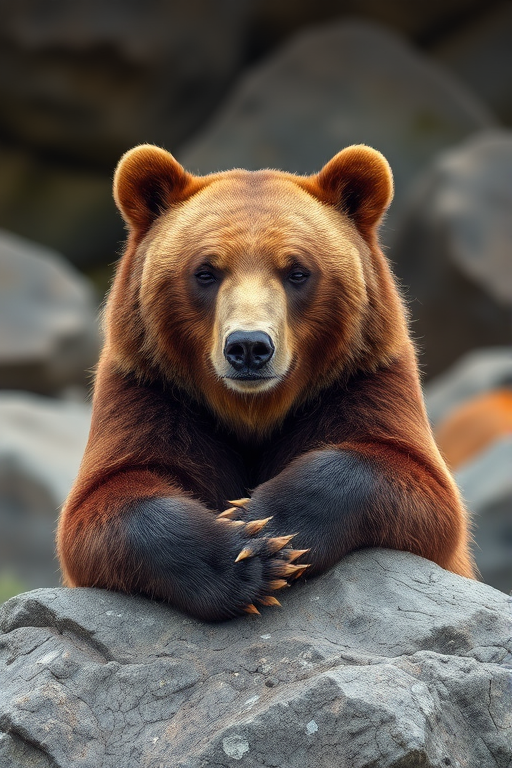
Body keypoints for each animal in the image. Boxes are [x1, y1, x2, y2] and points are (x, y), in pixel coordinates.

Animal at [57, 143, 476, 621]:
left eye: (297, 271)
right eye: (206, 271)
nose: (249, 346)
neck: (252, 411)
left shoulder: (363, 380)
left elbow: (415, 482)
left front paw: (267, 525)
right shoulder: (152, 391)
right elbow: (105, 501)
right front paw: (244, 556)